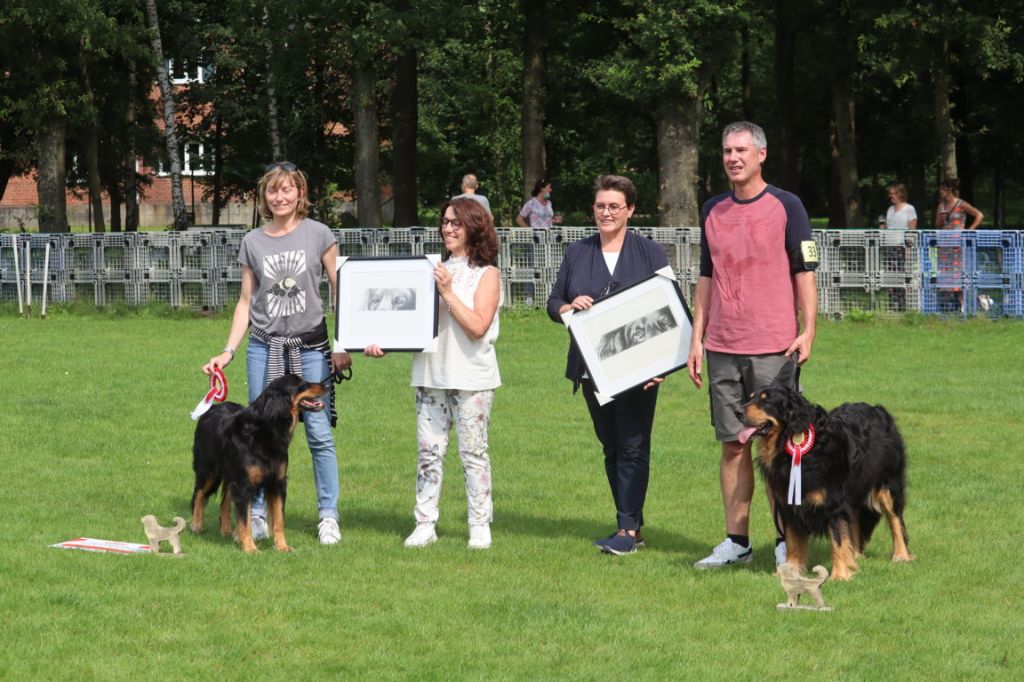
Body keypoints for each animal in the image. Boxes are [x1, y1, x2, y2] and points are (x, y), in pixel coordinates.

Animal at [188, 372, 323, 552]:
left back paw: (226, 531)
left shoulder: (277, 482)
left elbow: (279, 520)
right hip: (209, 469)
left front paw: (282, 547)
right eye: (301, 384)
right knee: (199, 493)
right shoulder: (244, 483)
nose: (325, 385)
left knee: (224, 502)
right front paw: (250, 548)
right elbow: (245, 521)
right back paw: (196, 524)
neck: (266, 431)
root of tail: (210, 409)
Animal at [741, 358, 917, 577]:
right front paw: (792, 570)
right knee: (856, 519)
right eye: (750, 398)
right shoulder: (790, 503)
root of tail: (879, 410)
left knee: (895, 519)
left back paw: (901, 555)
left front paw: (840, 574)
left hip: (887, 482)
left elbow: (838, 539)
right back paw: (856, 555)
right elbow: (794, 541)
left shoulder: (833, 502)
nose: (738, 411)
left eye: (765, 401)